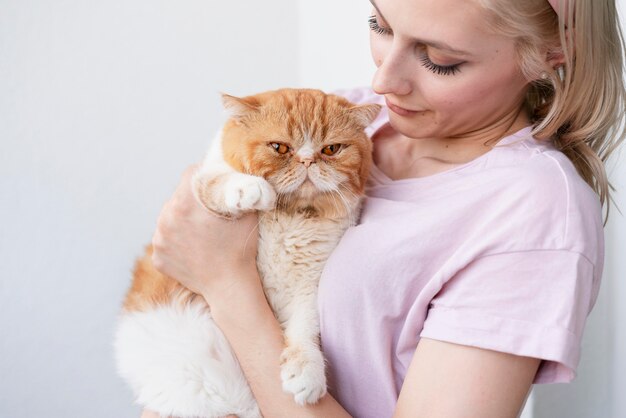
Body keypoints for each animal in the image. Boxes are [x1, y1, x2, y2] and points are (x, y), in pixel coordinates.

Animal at [114, 88, 378, 418]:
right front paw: (250, 189)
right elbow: (219, 181)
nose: (307, 160)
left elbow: (305, 330)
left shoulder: (308, 286)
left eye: (331, 149)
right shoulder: (202, 184)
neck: (292, 216)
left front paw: (308, 374)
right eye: (279, 147)